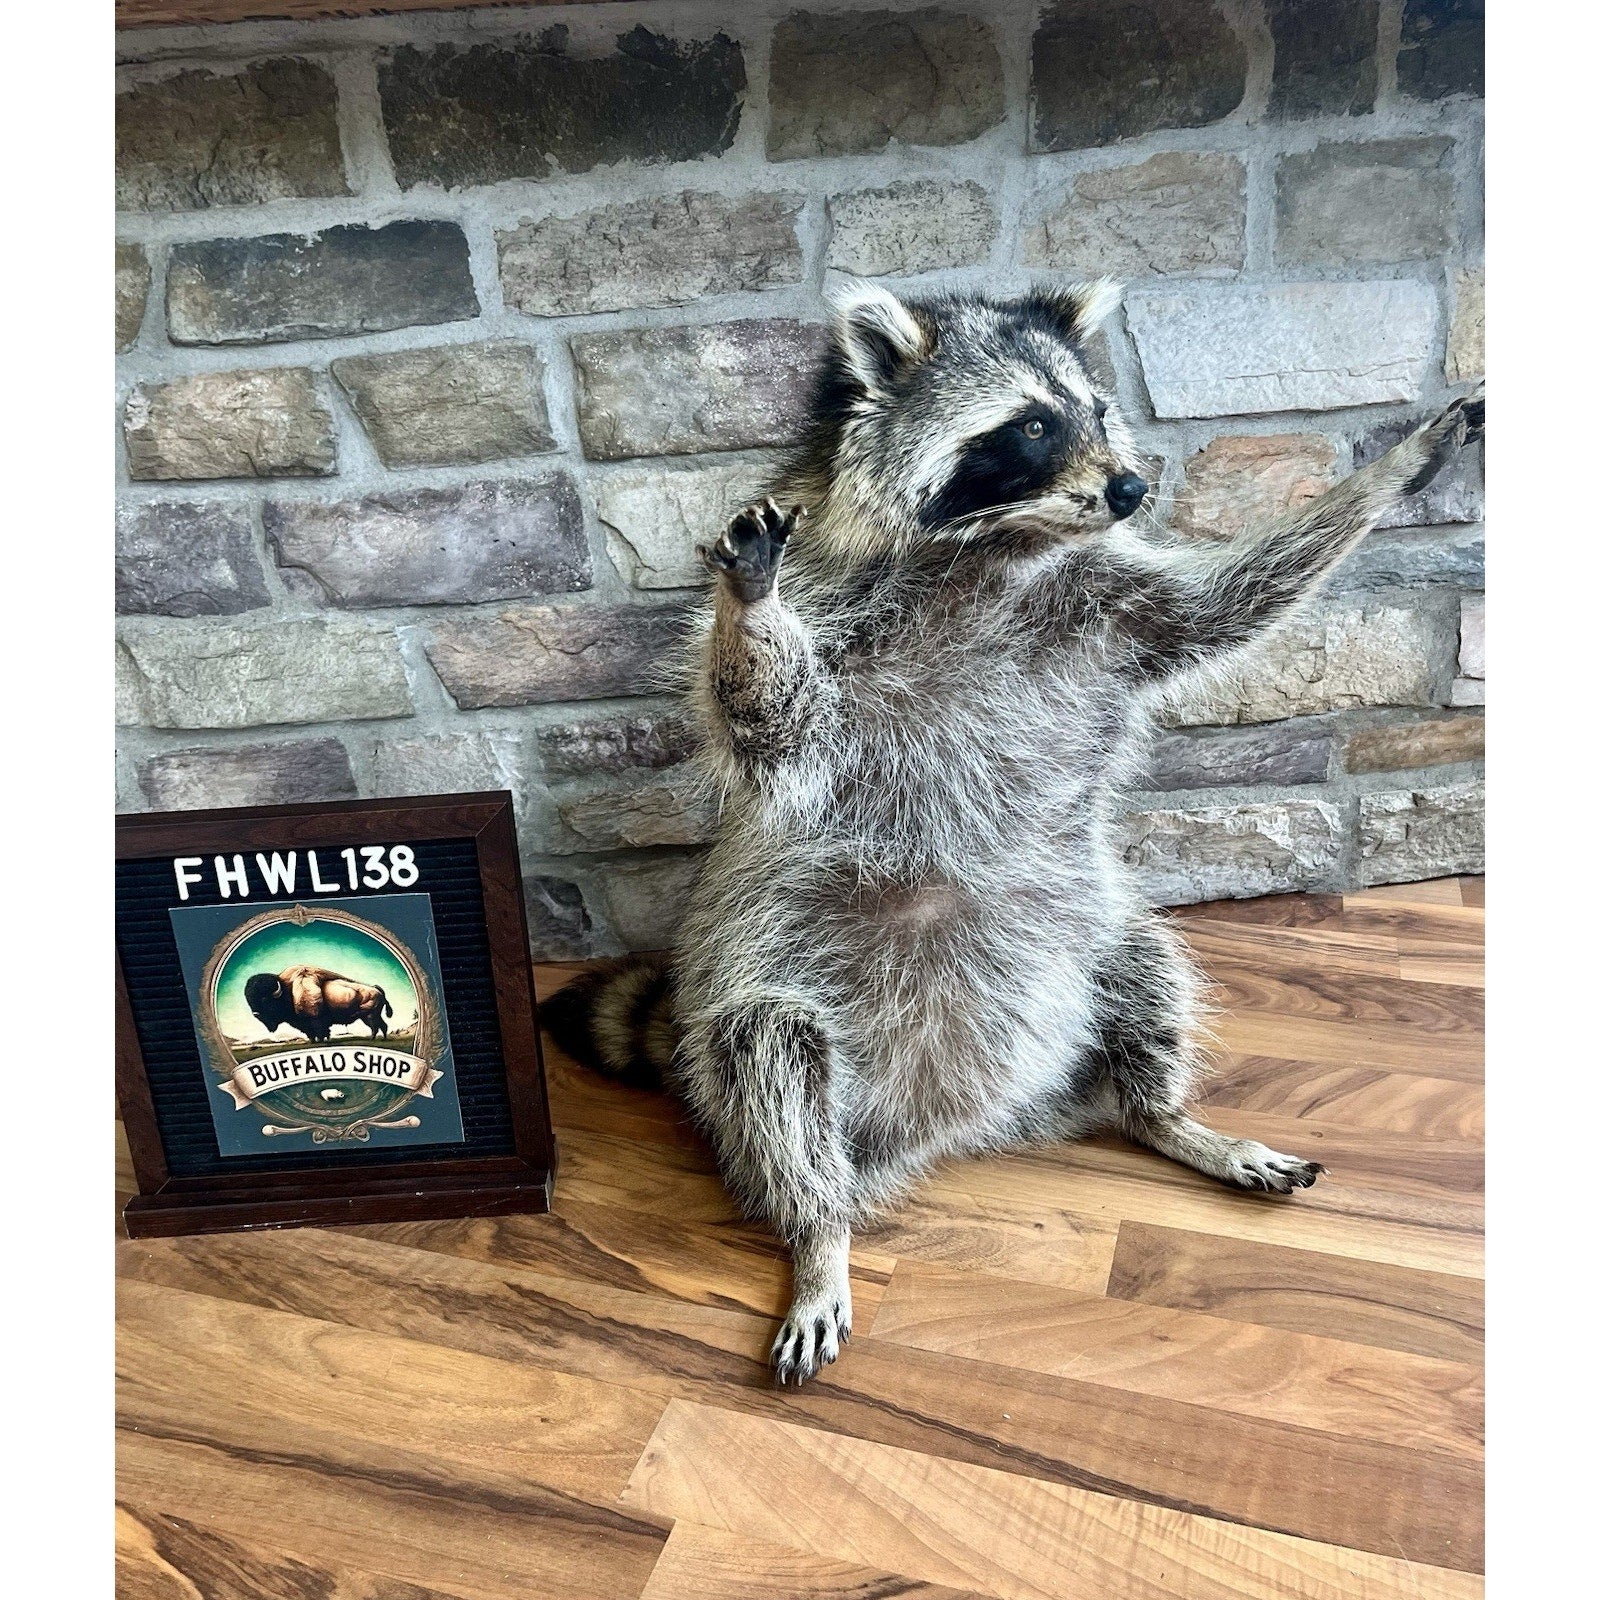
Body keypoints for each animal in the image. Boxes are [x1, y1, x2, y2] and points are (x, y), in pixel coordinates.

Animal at [544, 280, 1485, 1387]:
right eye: (1032, 425)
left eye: (1099, 410)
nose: (1130, 486)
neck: (997, 548)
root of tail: (956, 1122)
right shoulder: (835, 620)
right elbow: (774, 721)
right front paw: (751, 607)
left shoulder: (1114, 606)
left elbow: (1233, 598)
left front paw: (1394, 467)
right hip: (770, 979)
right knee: (769, 1059)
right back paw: (818, 1228)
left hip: (1084, 929)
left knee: (1146, 968)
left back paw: (1165, 1114)